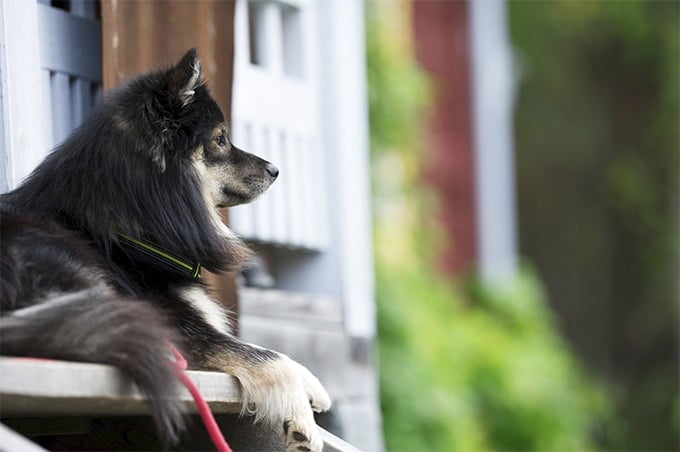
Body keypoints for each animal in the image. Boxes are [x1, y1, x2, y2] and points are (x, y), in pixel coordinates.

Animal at [0, 47, 330, 450]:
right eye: (220, 139)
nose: (275, 169)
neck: (128, 233)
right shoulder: (179, 324)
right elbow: (267, 356)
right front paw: (301, 417)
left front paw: (313, 386)